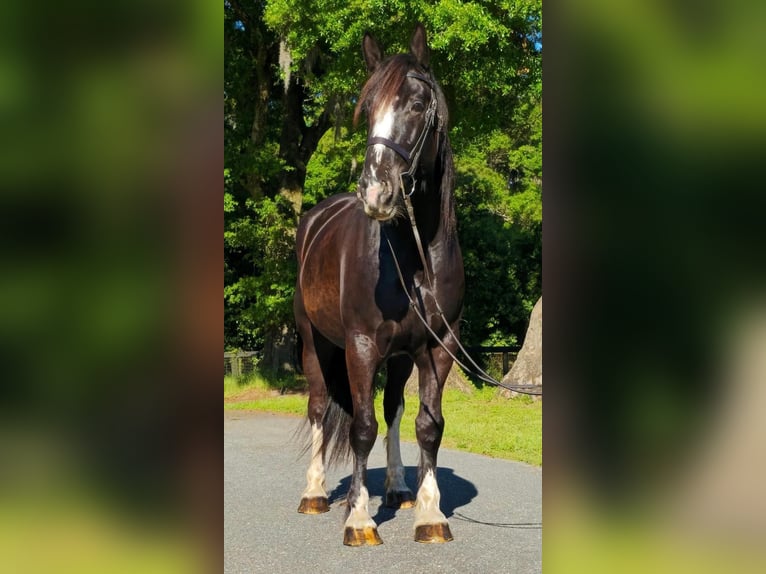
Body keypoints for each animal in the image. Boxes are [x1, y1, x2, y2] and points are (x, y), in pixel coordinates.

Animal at [293, 23, 464, 546]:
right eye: (368, 108)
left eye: (417, 103)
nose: (375, 191)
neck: (414, 259)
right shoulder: (362, 344)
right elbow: (362, 427)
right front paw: (358, 518)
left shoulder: (438, 346)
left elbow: (427, 425)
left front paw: (429, 513)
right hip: (314, 343)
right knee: (319, 407)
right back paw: (315, 493)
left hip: (401, 356)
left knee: (393, 409)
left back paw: (395, 488)